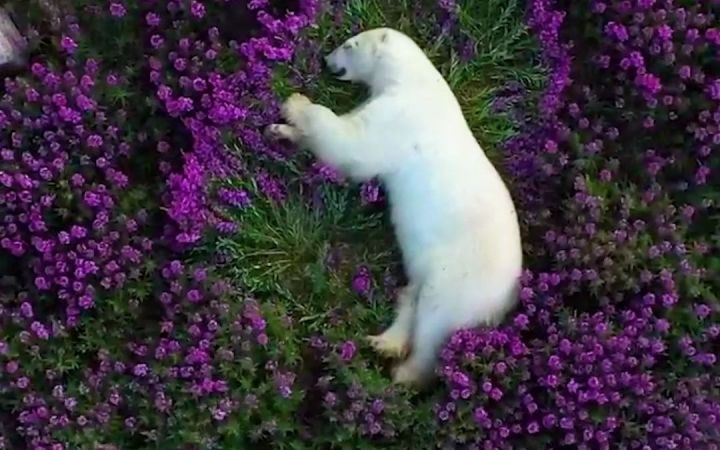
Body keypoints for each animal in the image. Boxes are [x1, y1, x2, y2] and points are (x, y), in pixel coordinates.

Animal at [264, 27, 523, 387]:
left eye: (349, 45)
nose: (326, 60)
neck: (415, 80)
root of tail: (507, 299)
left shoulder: (399, 116)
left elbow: (352, 144)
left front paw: (295, 104)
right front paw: (278, 131)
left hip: (462, 278)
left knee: (434, 321)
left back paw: (405, 372)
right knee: (411, 296)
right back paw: (384, 342)